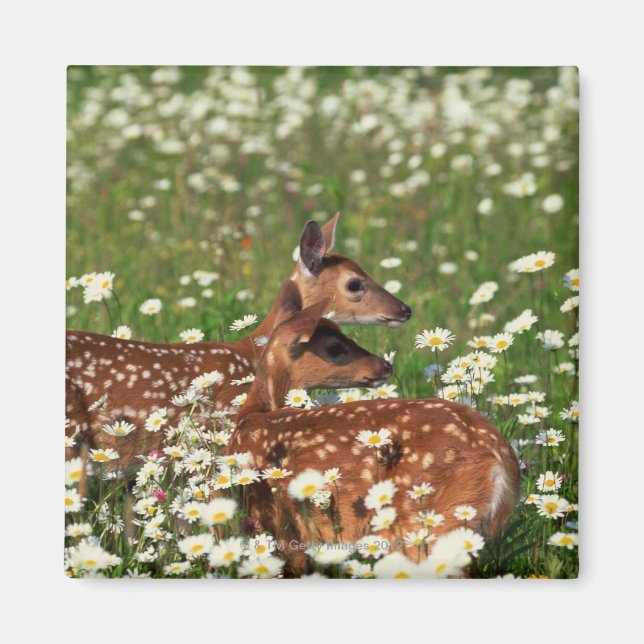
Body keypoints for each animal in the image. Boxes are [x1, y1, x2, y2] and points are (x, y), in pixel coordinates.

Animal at [228, 283, 521, 573]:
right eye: (335, 347)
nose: (385, 365)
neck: (252, 415)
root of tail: (500, 457)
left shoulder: (281, 529)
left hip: (428, 521)